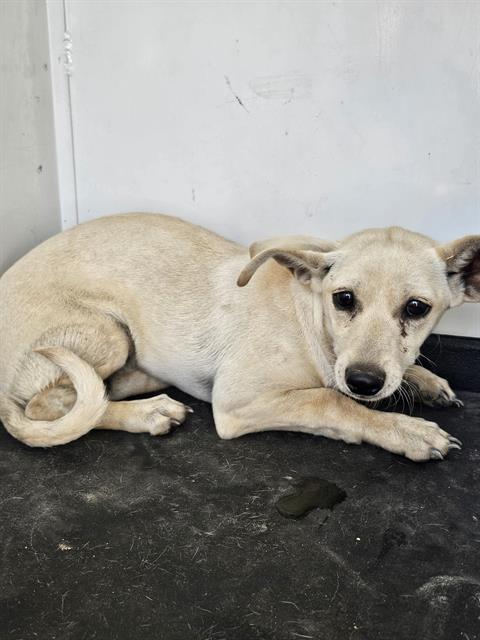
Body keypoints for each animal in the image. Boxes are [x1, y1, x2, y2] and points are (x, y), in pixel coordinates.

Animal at [0, 215, 480, 460]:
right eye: (344, 299)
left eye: (416, 308)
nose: (364, 381)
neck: (309, 319)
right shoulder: (237, 401)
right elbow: (331, 401)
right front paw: (406, 431)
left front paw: (424, 381)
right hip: (107, 332)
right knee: (53, 405)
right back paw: (147, 411)